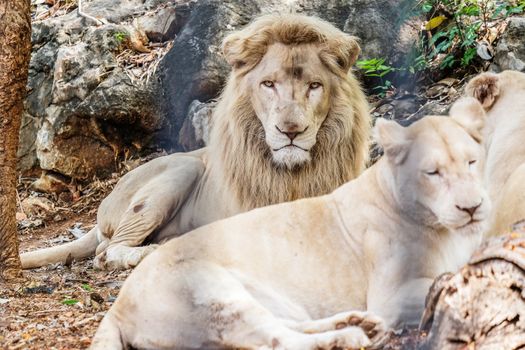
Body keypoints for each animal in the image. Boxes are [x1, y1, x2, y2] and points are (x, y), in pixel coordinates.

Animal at [20, 15, 370, 270]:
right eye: (268, 84)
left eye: (315, 86)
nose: (291, 130)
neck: (295, 174)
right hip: (181, 169)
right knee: (108, 251)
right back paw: (155, 252)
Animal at [91, 98, 492, 350]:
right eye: (432, 173)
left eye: (472, 163)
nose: (472, 207)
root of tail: (117, 306)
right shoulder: (389, 297)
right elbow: (444, 280)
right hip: (214, 291)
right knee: (279, 341)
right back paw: (348, 338)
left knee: (287, 327)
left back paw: (355, 324)